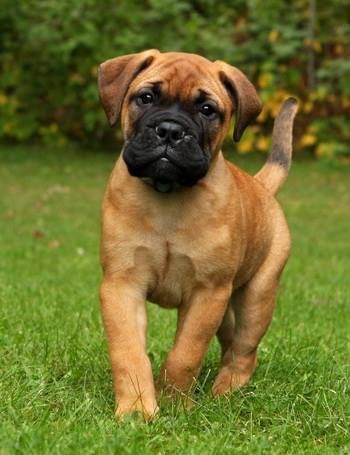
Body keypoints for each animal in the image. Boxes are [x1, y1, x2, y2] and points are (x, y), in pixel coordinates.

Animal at [98, 50, 298, 420]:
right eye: (146, 98)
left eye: (207, 109)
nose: (170, 130)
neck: (168, 195)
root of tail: (261, 186)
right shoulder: (122, 285)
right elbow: (128, 353)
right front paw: (137, 409)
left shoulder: (208, 293)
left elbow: (185, 354)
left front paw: (175, 404)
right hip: (228, 309)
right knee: (231, 343)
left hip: (257, 295)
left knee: (244, 351)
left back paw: (226, 392)